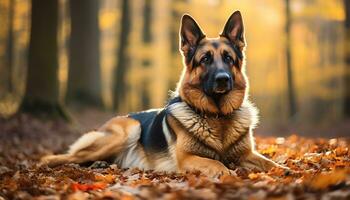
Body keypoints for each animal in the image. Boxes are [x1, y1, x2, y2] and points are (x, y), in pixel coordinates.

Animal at [41, 10, 284, 177]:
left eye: (228, 58)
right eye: (205, 59)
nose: (223, 79)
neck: (217, 116)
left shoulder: (246, 154)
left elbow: (268, 162)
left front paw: (284, 170)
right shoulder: (187, 158)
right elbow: (217, 163)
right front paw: (228, 173)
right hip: (128, 131)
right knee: (67, 155)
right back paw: (46, 163)